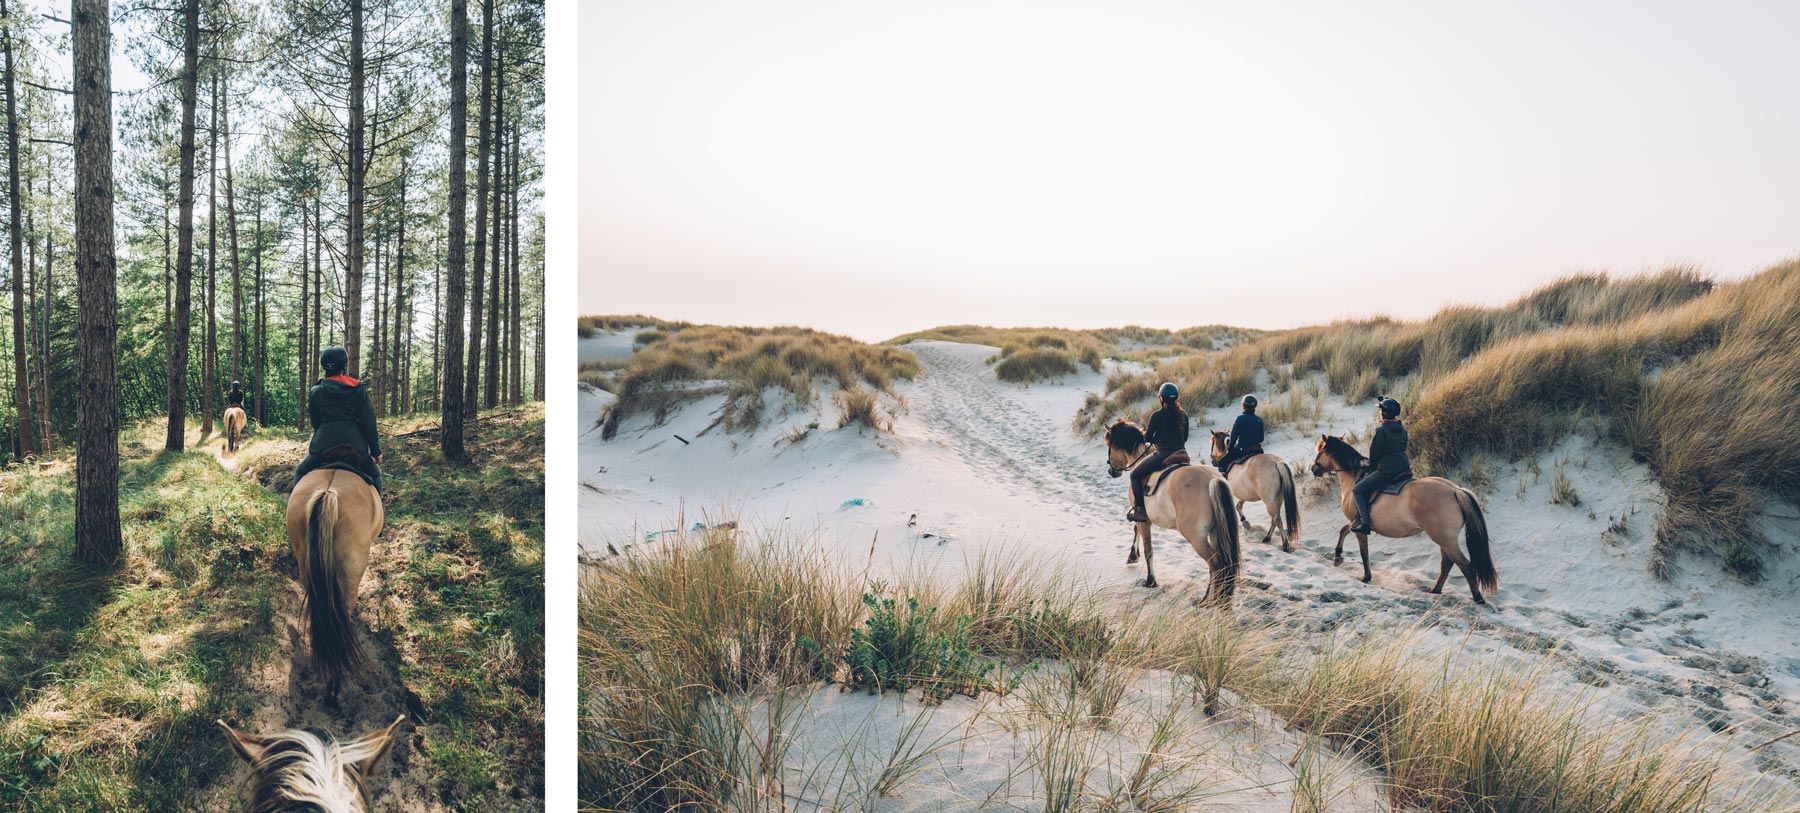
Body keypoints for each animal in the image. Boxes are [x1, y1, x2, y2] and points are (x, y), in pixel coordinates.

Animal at [1094, 419, 1238, 604]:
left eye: (1110, 444)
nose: (1112, 471)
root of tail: (1212, 479)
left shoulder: (1143, 518)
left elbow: (1148, 549)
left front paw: (1150, 580)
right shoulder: (1142, 516)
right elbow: (1136, 529)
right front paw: (1133, 556)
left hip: (1196, 537)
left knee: (1216, 564)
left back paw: (1211, 601)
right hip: (1215, 533)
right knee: (1219, 566)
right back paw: (1209, 600)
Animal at [1310, 438, 1504, 604]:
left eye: (1320, 452)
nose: (1313, 469)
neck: (1353, 479)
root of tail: (1455, 490)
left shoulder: (1358, 525)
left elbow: (1363, 551)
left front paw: (1366, 577)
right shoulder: (1354, 522)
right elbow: (1343, 530)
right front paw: (1338, 554)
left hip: (1445, 539)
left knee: (1464, 565)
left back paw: (1477, 597)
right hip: (1445, 539)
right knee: (1447, 563)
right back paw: (1435, 590)